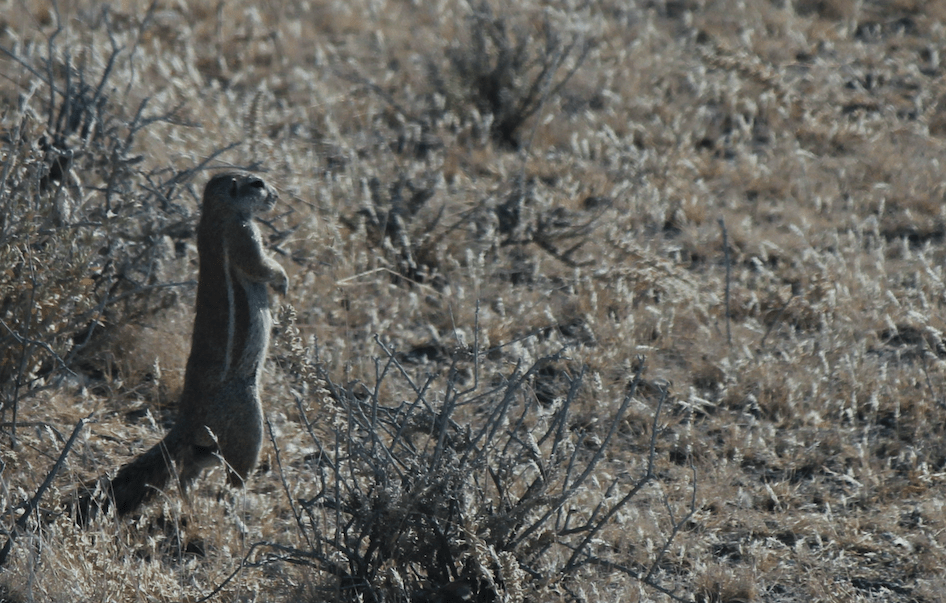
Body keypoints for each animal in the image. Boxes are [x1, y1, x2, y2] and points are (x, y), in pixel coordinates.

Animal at [78, 171, 288, 521]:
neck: (217, 214)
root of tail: (186, 422)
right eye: (257, 184)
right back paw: (239, 502)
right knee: (233, 473)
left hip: (208, 445)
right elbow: (262, 266)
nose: (276, 196)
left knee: (189, 468)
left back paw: (191, 503)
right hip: (248, 423)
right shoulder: (244, 237)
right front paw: (283, 282)